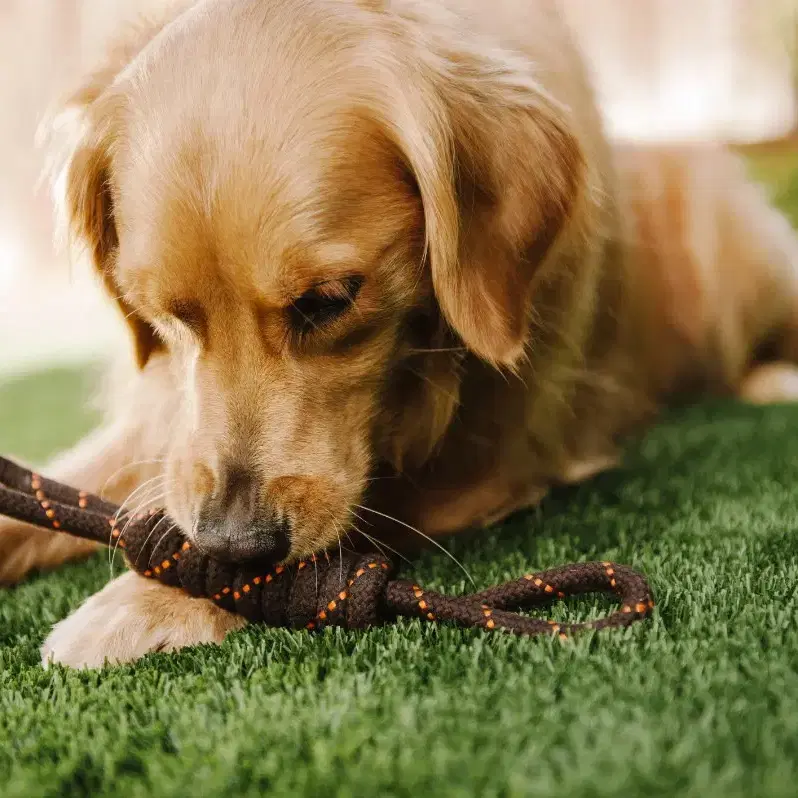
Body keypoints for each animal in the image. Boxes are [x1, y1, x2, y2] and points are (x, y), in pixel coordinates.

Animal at [1, 0, 798, 672]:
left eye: (327, 302)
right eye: (166, 313)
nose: (233, 543)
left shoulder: (489, 457)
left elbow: (362, 523)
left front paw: (145, 601)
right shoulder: (165, 418)